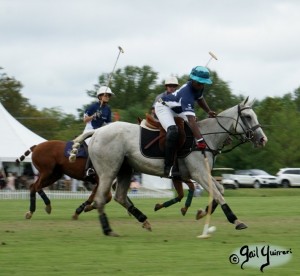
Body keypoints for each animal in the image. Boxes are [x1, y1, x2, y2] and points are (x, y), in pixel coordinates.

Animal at [69, 98, 268, 236]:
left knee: (119, 196)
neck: (205, 137)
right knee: (101, 198)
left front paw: (202, 212)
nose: (262, 139)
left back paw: (144, 220)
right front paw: (235, 220)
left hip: (125, 169)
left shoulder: (202, 173)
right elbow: (218, 194)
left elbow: (219, 189)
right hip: (108, 171)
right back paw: (108, 229)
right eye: (248, 117)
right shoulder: (199, 173)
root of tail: (97, 131)